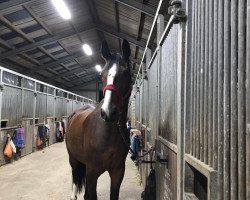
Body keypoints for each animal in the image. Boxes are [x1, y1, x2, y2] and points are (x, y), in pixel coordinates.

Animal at [66, 39, 133, 200]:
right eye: (102, 74)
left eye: (126, 73)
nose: (108, 112)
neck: (107, 134)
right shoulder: (92, 172)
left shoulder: (118, 172)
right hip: (73, 160)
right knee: (75, 177)